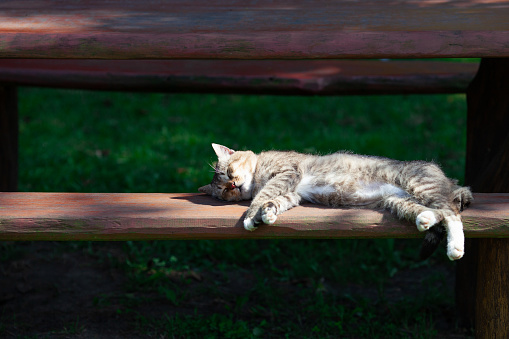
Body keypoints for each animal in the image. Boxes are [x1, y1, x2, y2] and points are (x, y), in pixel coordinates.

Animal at [198, 143, 472, 260]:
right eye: (222, 190)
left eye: (227, 172)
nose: (232, 185)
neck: (257, 174)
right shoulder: (294, 193)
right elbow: (277, 200)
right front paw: (267, 214)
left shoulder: (288, 172)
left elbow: (264, 195)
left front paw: (251, 216)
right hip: (398, 202)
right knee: (438, 212)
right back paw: (425, 219)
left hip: (419, 184)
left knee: (451, 212)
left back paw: (455, 248)